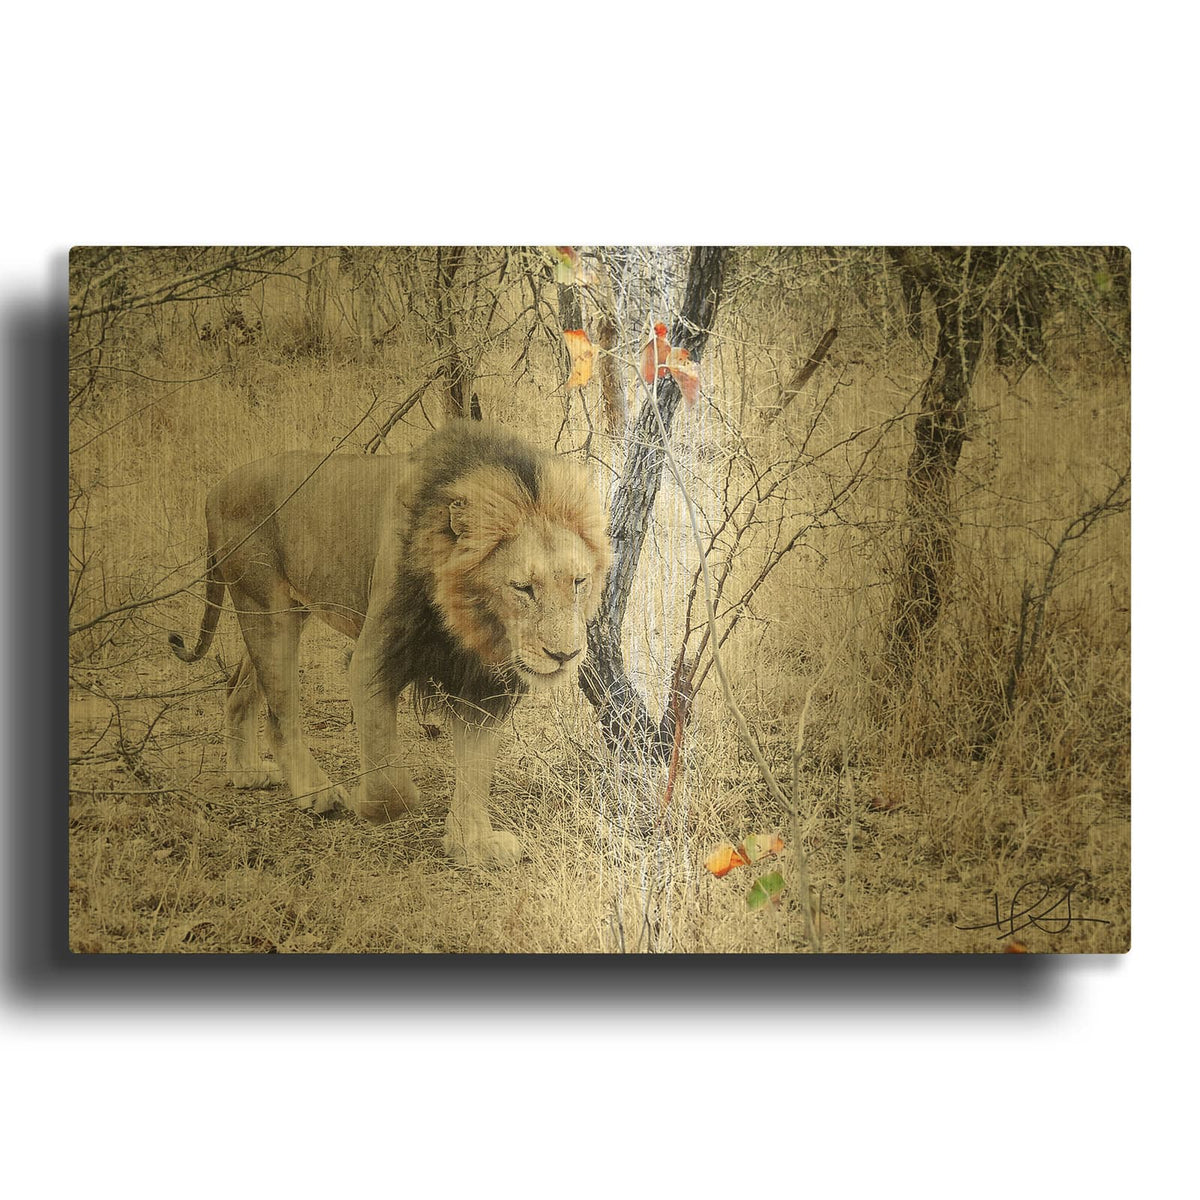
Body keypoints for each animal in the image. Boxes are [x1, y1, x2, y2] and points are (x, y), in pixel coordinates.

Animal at [168, 420, 611, 867]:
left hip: (286, 610)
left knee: (238, 688)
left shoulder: (482, 683)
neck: (469, 621)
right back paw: (317, 791)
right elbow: (391, 784)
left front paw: (472, 843)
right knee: (280, 714)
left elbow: (475, 768)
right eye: (523, 588)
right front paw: (369, 805)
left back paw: (245, 771)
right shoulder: (373, 656)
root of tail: (217, 487)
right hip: (266, 608)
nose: (565, 655)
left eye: (579, 581)